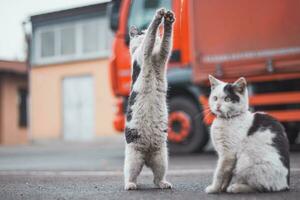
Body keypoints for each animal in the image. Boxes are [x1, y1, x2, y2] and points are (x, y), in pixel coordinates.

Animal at [123, 8, 175, 191]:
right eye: (140, 33)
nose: (142, 32)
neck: (152, 58)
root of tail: (146, 158)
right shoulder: (145, 52)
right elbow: (149, 40)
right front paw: (158, 18)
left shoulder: (162, 55)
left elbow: (166, 41)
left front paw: (168, 21)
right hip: (132, 159)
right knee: (131, 176)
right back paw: (130, 185)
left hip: (162, 159)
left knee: (156, 179)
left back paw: (164, 184)